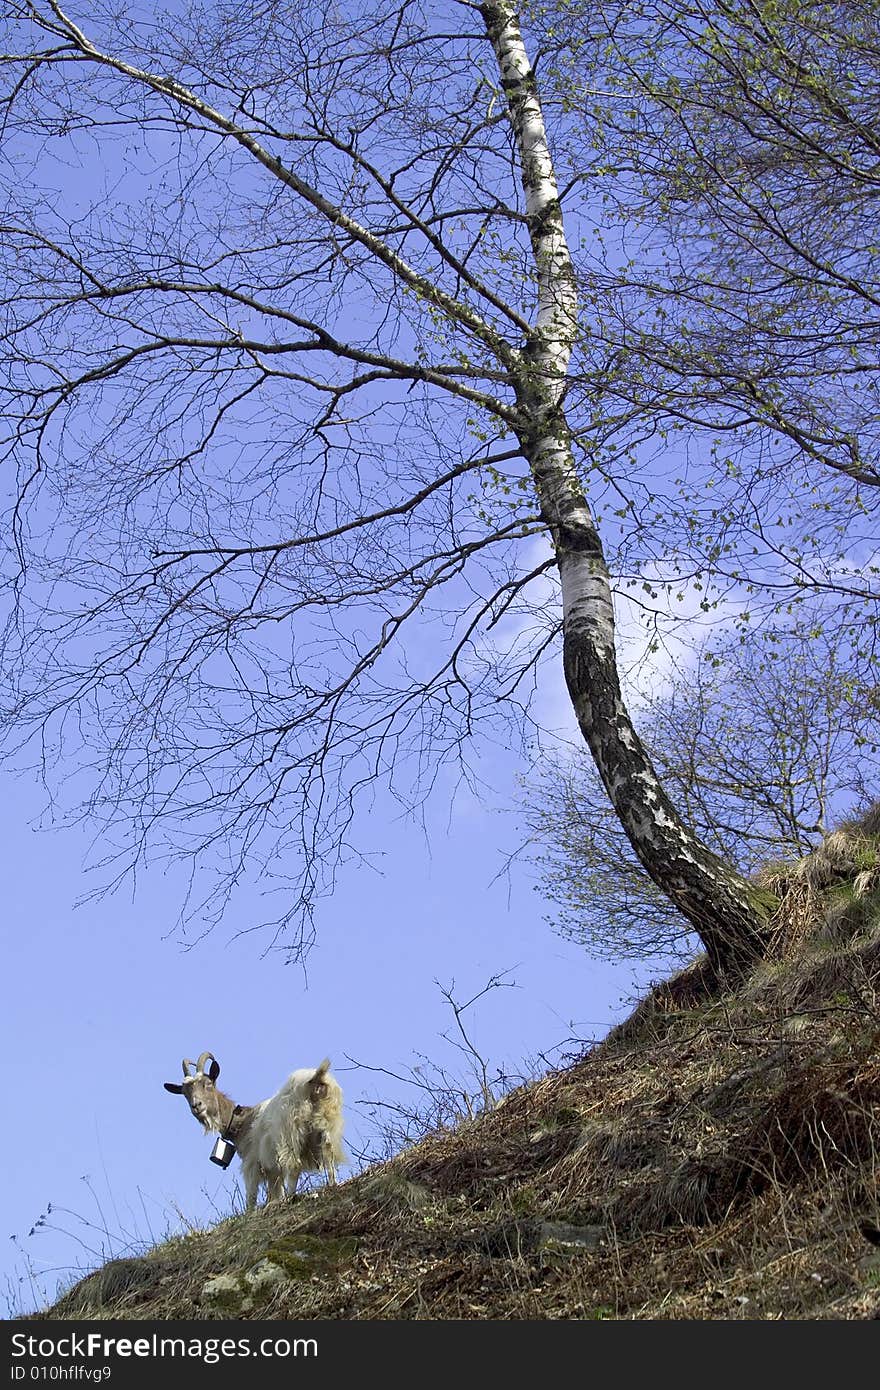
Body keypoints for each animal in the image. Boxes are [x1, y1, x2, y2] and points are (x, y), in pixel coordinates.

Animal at [164, 1050, 343, 1206]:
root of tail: (313, 1080)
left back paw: (292, 1198)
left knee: (294, 1166)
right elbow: (275, 1192)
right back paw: (332, 1185)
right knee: (328, 1157)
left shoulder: (252, 1164)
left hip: (290, 1134)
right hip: (324, 1128)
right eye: (185, 1093)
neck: (242, 1121)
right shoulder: (273, 1171)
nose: (196, 1106)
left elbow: (251, 1199)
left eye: (207, 1084)